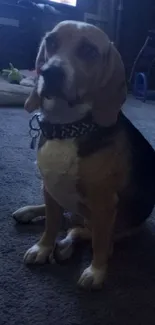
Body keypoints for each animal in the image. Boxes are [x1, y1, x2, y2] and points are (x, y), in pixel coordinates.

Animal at [12, 20, 155, 288]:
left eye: (89, 51)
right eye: (51, 42)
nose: (49, 72)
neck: (68, 129)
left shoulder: (104, 205)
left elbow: (99, 242)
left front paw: (96, 271)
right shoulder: (50, 187)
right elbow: (50, 224)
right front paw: (42, 248)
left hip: (119, 227)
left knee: (81, 232)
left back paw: (67, 246)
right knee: (63, 221)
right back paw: (28, 213)